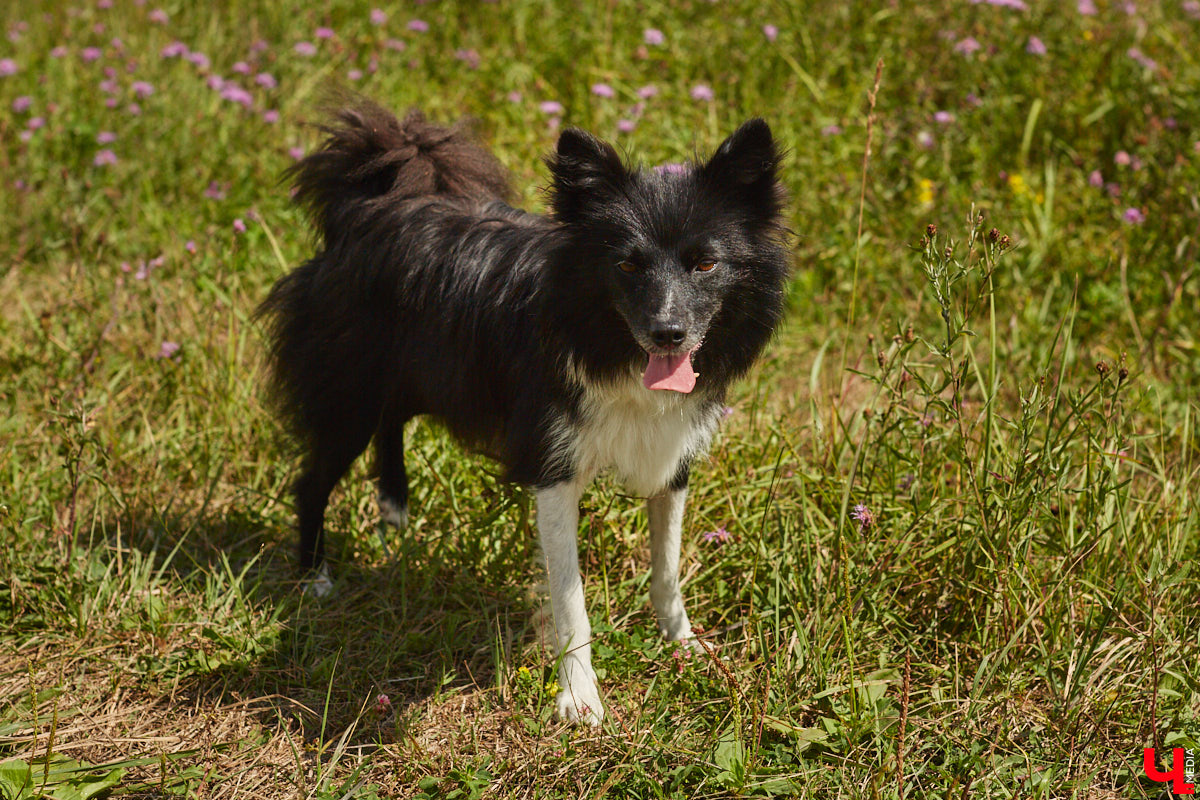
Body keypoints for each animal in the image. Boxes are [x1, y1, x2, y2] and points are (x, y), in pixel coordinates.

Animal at [258, 100, 787, 724]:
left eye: (706, 264)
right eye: (627, 267)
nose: (667, 334)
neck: (608, 345)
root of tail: (363, 211)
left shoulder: (671, 458)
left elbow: (667, 568)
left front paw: (686, 648)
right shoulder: (551, 465)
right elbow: (571, 598)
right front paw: (580, 699)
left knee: (392, 426)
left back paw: (394, 514)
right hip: (348, 396)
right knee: (312, 480)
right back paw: (315, 578)